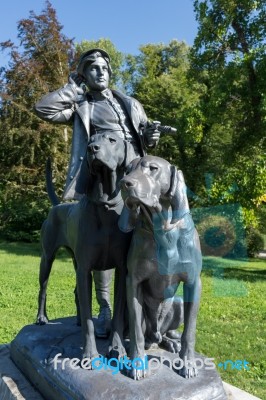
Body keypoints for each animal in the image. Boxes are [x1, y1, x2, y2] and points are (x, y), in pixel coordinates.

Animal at [36, 133, 136, 364]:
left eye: (112, 140)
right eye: (91, 140)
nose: (92, 149)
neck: (105, 205)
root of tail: (57, 205)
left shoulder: (121, 268)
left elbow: (118, 314)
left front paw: (117, 348)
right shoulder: (85, 268)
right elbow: (90, 318)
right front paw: (90, 354)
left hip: (74, 260)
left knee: (76, 293)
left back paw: (79, 320)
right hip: (47, 257)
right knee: (43, 288)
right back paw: (41, 317)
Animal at [120, 155, 202, 378]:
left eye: (153, 169)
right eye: (127, 170)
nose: (124, 183)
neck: (163, 228)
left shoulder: (193, 282)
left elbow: (189, 332)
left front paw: (188, 364)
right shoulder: (133, 282)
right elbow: (136, 334)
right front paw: (137, 363)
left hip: (178, 303)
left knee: (167, 333)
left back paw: (171, 342)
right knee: (143, 334)